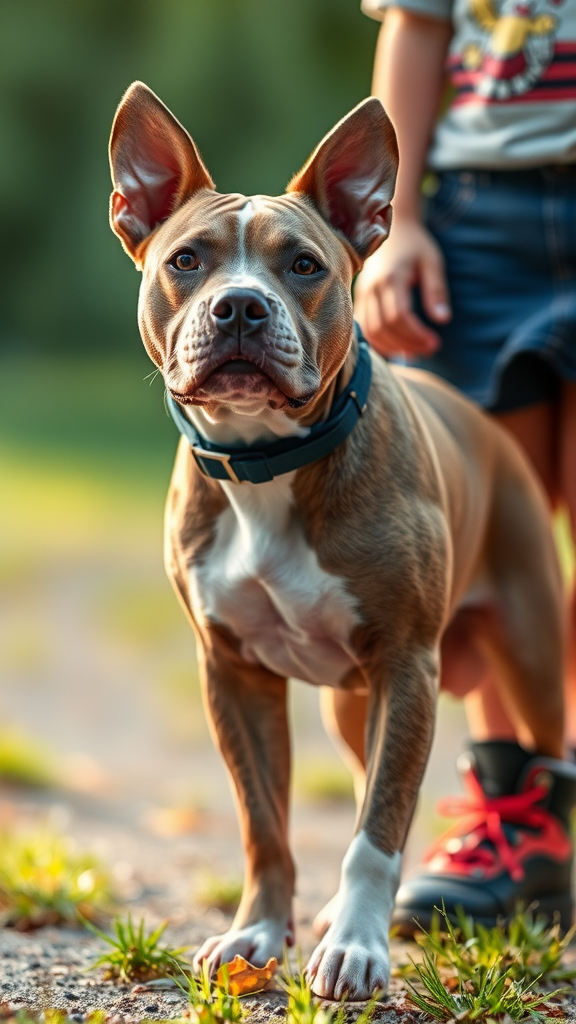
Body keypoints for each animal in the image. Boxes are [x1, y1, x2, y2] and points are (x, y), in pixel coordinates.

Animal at [106, 86, 561, 999]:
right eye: (187, 261)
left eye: (305, 266)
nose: (240, 306)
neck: (266, 466)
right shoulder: (234, 673)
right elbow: (265, 822)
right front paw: (255, 934)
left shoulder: (406, 667)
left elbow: (377, 829)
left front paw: (357, 945)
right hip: (351, 702)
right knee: (359, 772)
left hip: (530, 654)